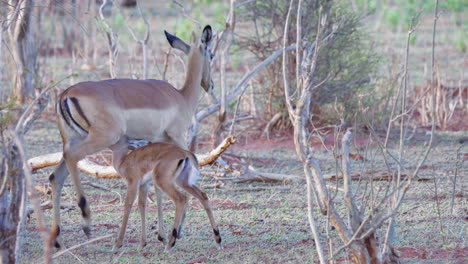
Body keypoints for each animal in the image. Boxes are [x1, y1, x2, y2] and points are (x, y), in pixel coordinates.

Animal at [49, 25, 214, 250]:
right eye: (212, 55)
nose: (210, 84)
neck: (181, 97)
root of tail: (66, 94)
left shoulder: (154, 145)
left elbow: (152, 190)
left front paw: (161, 235)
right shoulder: (176, 138)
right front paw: (173, 233)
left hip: (73, 140)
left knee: (56, 176)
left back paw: (58, 240)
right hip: (100, 139)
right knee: (72, 158)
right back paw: (86, 219)